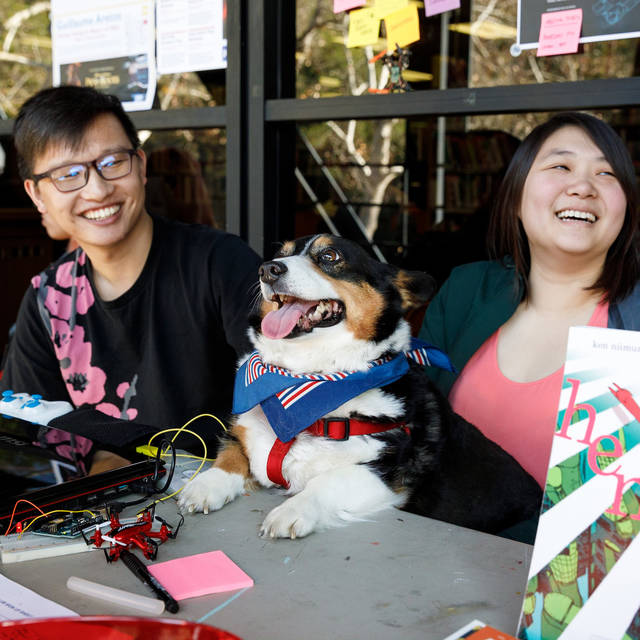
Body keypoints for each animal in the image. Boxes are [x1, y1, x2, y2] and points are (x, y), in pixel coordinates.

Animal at [178, 238, 544, 536]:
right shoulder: (247, 433)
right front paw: (205, 486)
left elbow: (327, 481)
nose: (267, 269)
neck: (307, 377)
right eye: (279, 254)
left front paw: (292, 511)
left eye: (329, 255)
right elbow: (230, 454)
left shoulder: (385, 475)